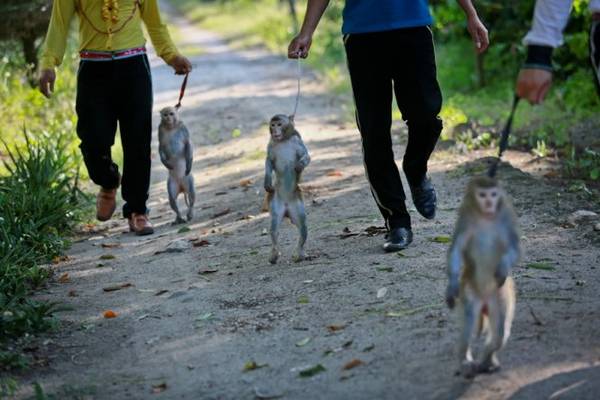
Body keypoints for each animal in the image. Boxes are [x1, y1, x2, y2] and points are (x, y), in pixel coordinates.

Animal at [262, 115, 310, 266]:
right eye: (272, 125)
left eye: (279, 124)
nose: (275, 131)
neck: (282, 140)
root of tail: (287, 208)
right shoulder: (271, 144)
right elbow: (269, 160)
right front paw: (267, 182)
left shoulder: (296, 141)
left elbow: (306, 156)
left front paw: (300, 165)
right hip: (276, 203)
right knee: (274, 228)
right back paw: (274, 253)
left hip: (297, 205)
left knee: (303, 227)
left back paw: (300, 252)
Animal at [446, 175, 520, 378]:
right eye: (482, 195)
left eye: (493, 194)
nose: (489, 203)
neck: (486, 217)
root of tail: (486, 301)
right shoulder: (465, 218)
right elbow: (456, 250)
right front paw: (451, 286)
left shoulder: (506, 218)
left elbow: (515, 249)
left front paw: (503, 267)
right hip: (471, 290)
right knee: (470, 320)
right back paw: (466, 361)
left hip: (499, 296)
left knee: (500, 332)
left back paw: (487, 360)